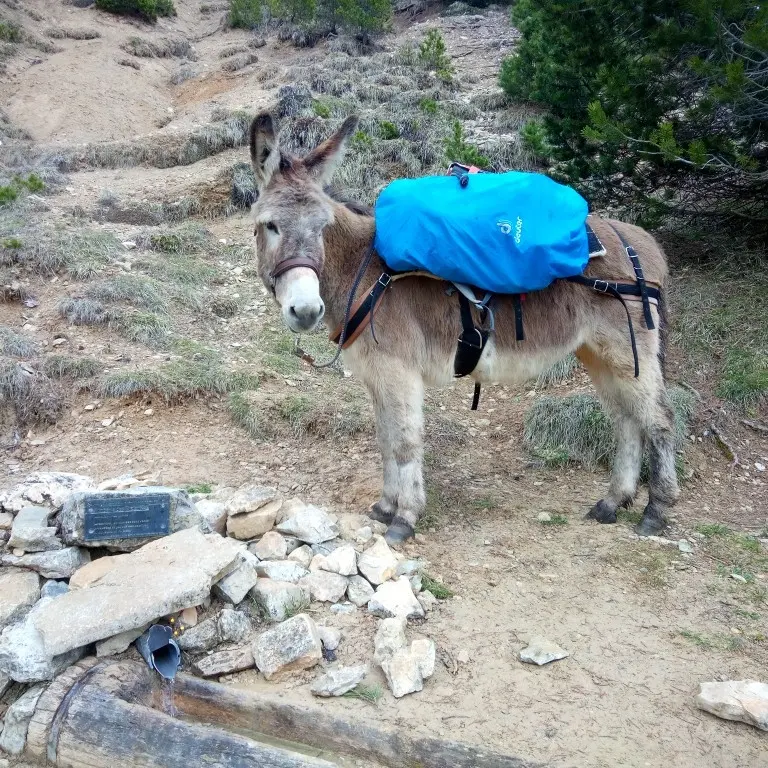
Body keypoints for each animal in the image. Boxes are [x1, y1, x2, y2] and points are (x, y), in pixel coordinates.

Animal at [246, 112, 679, 545]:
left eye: (323, 226)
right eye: (269, 226)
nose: (305, 310)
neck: (363, 274)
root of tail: (645, 242)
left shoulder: (399, 373)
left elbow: (404, 442)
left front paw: (405, 517)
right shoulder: (378, 376)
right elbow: (385, 439)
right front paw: (385, 507)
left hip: (626, 350)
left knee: (659, 419)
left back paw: (656, 510)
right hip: (597, 353)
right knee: (627, 420)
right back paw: (613, 502)